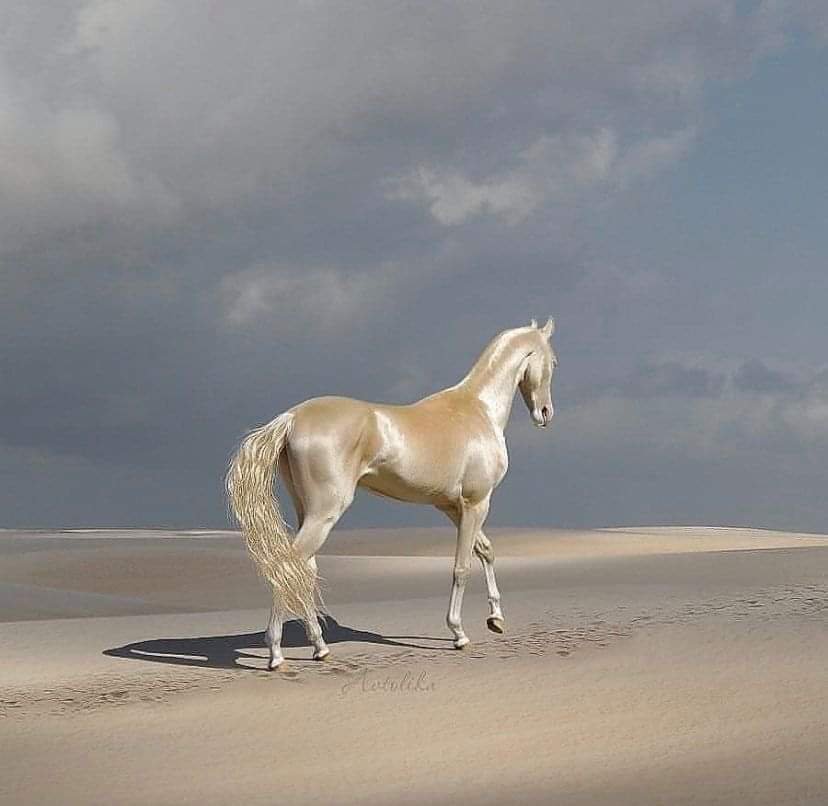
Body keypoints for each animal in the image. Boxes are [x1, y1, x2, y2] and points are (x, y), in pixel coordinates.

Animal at [226, 317, 557, 669]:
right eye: (553, 362)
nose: (545, 413)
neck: (477, 410)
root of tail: (291, 418)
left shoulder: (453, 507)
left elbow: (486, 551)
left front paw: (496, 619)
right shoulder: (476, 503)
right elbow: (462, 566)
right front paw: (459, 633)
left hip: (308, 512)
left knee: (304, 570)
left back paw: (319, 647)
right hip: (324, 513)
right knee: (289, 566)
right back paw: (276, 654)